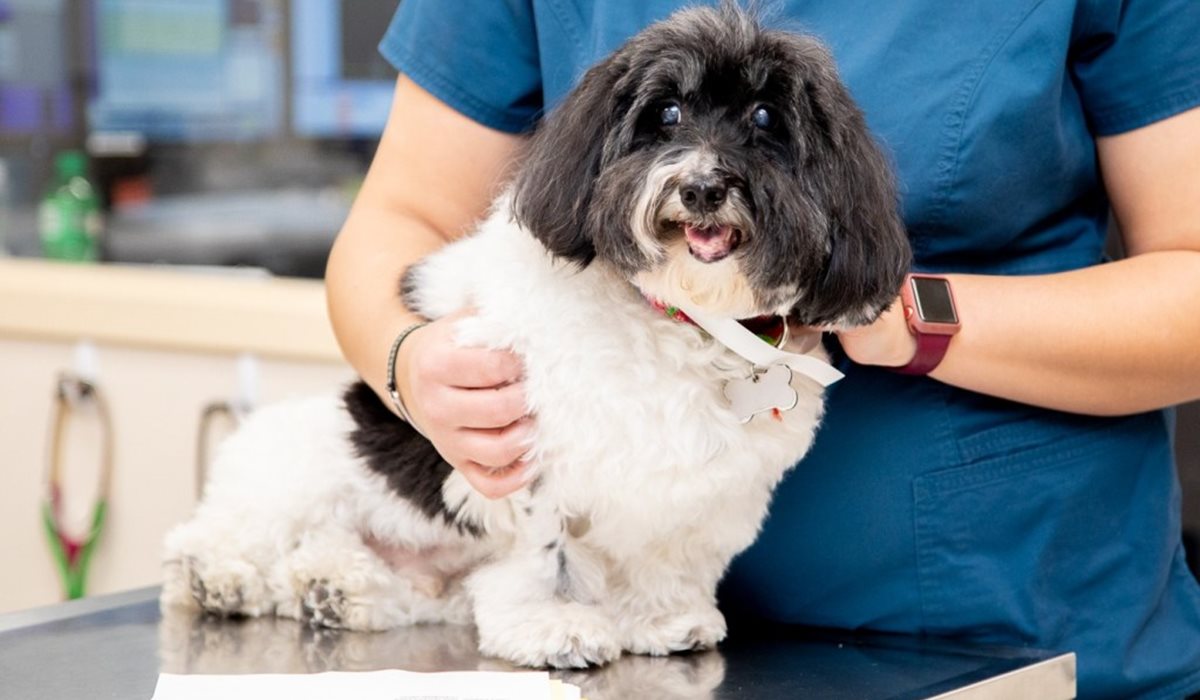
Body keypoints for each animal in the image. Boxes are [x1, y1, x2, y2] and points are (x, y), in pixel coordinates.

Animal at [162, 6, 907, 672]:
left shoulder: (707, 489)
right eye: (666, 114)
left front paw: (662, 614)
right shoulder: (521, 451)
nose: (700, 187)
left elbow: (668, 554)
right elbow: (541, 553)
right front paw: (554, 624)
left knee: (350, 572)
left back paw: (333, 589)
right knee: (222, 537)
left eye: (764, 120)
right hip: (291, 475)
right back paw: (219, 576)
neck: (682, 316)